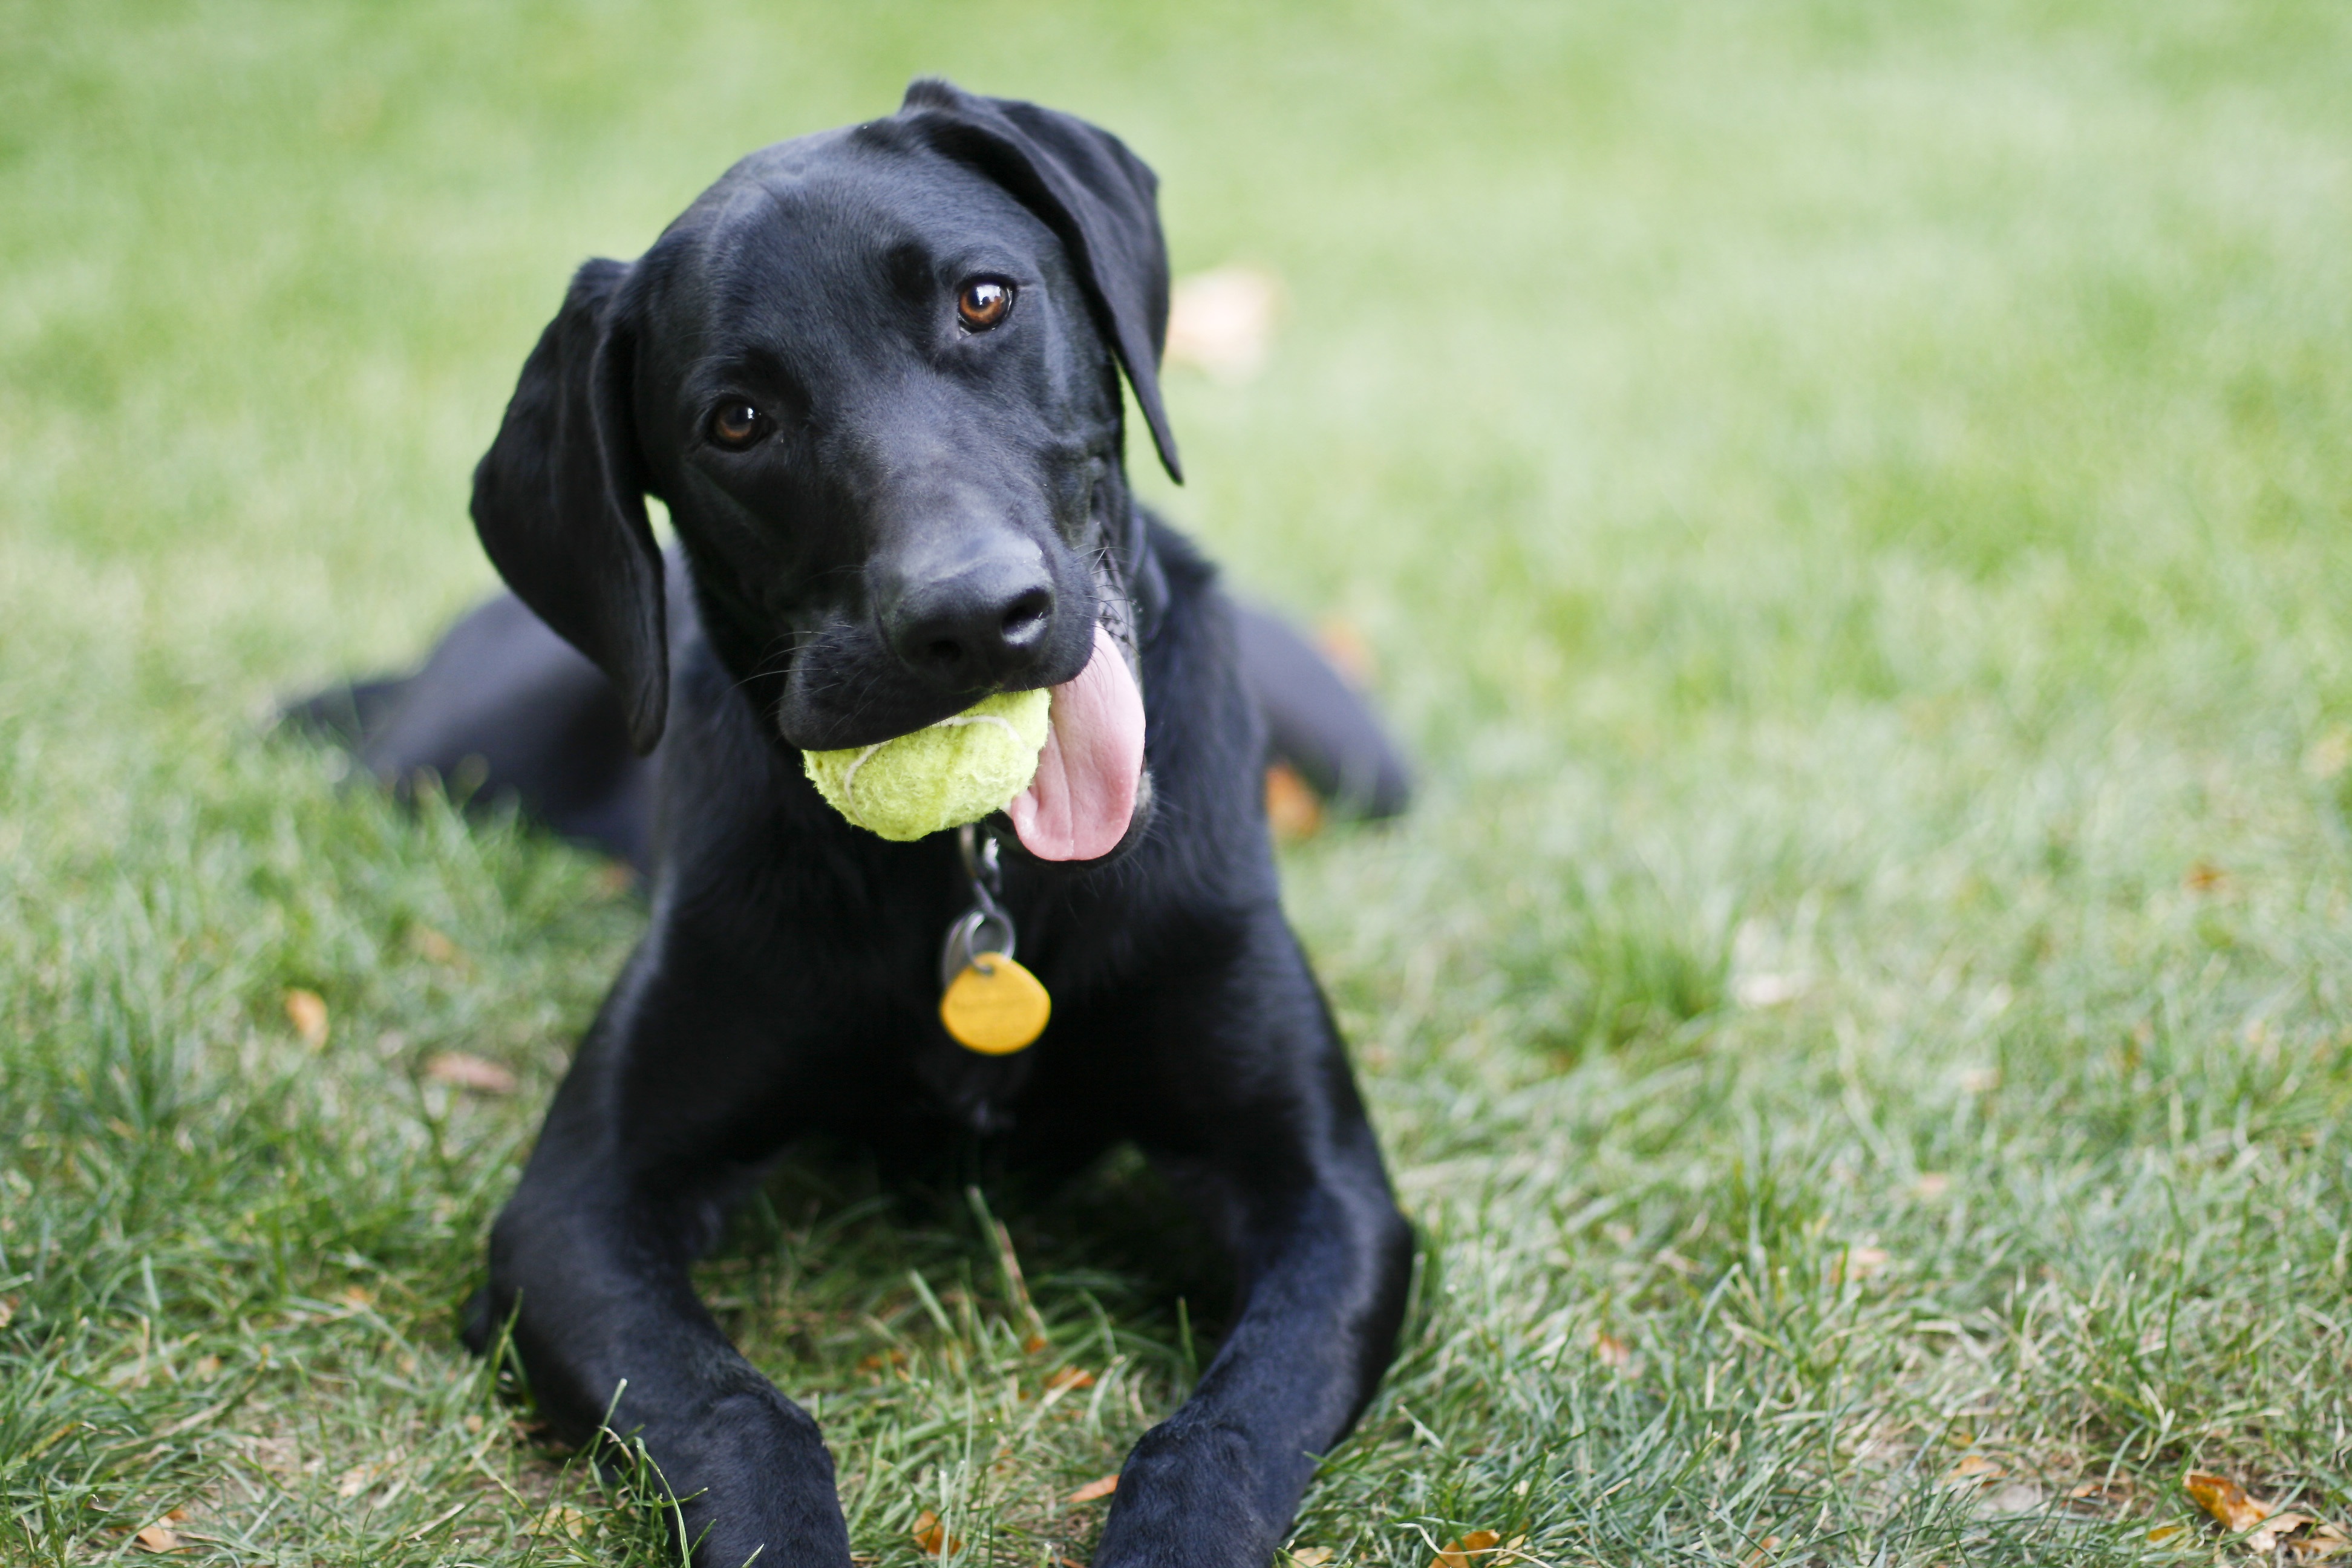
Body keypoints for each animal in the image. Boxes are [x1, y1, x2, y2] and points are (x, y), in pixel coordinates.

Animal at [390, 82, 1411, 1568]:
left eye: (985, 300)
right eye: (737, 420)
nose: (975, 618)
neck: (983, 872)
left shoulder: (1326, 1194)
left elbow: (1227, 1424)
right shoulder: (570, 1216)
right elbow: (738, 1412)